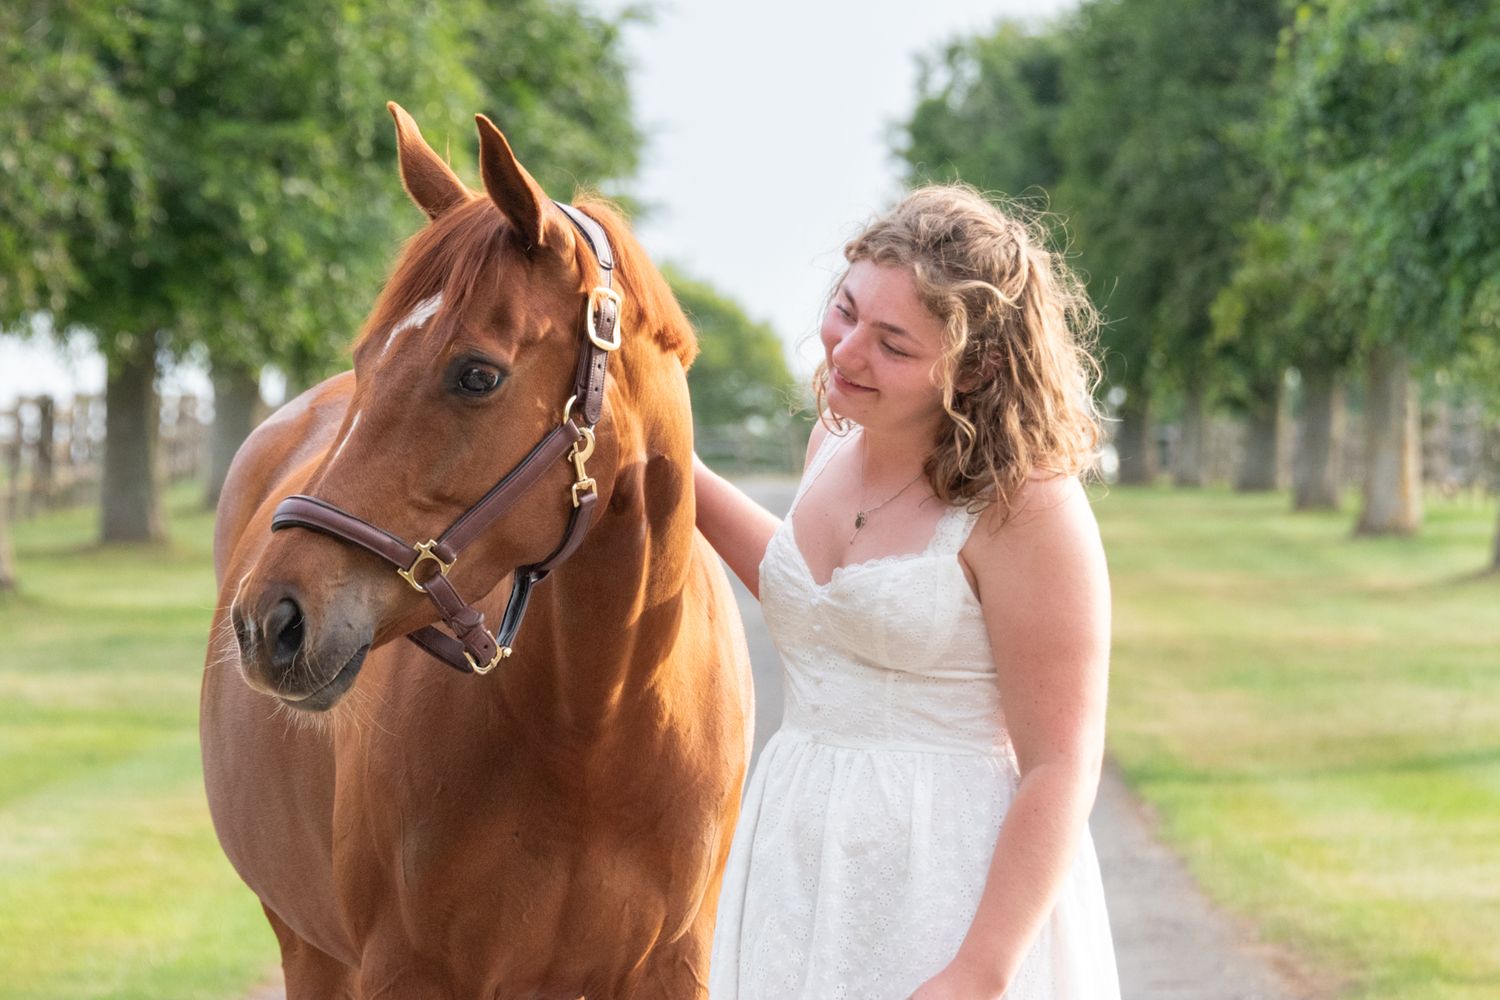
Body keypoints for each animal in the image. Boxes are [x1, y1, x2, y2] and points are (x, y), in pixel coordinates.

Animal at [200, 102, 753, 999]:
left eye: (476, 375)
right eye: (366, 361)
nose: (268, 621)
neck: (592, 731)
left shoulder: (671, 968)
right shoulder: (407, 971)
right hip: (306, 947)